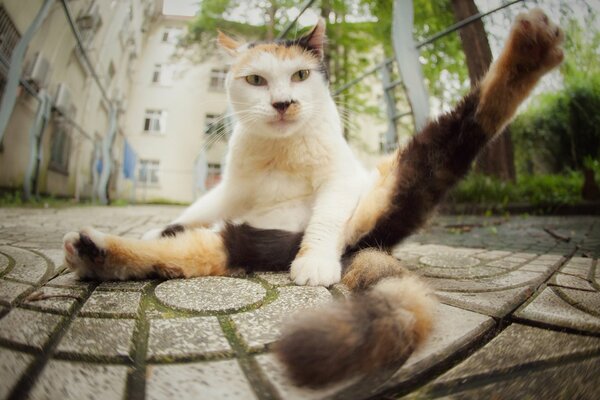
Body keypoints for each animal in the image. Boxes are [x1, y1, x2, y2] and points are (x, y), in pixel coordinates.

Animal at [63, 8, 564, 388]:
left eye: (301, 75)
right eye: (256, 80)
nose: (283, 103)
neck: (281, 154)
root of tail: (371, 243)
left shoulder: (338, 179)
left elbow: (324, 218)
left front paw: (315, 263)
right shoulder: (229, 190)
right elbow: (197, 208)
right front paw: (157, 224)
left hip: (377, 190)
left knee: (469, 124)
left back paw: (533, 48)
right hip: (244, 237)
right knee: (183, 251)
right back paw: (96, 252)